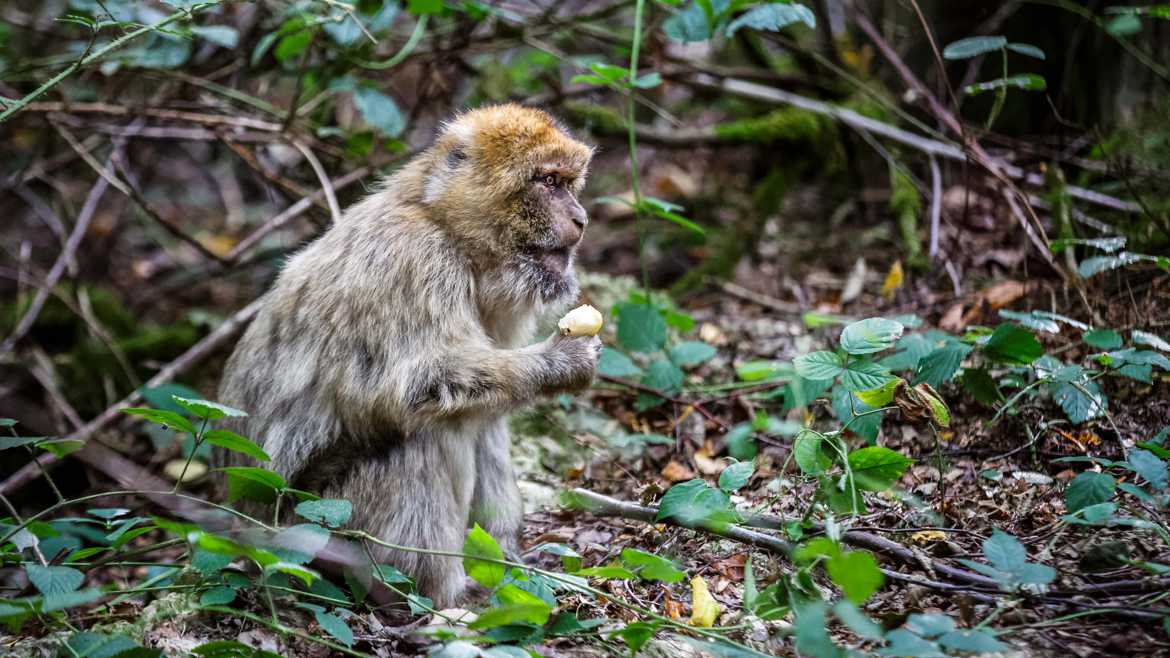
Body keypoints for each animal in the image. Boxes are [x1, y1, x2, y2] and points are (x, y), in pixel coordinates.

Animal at [218, 103, 599, 604]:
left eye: (569, 183)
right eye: (548, 181)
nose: (581, 218)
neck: (443, 225)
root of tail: (249, 539)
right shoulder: (418, 263)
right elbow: (415, 388)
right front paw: (561, 363)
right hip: (321, 527)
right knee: (421, 433)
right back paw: (438, 595)